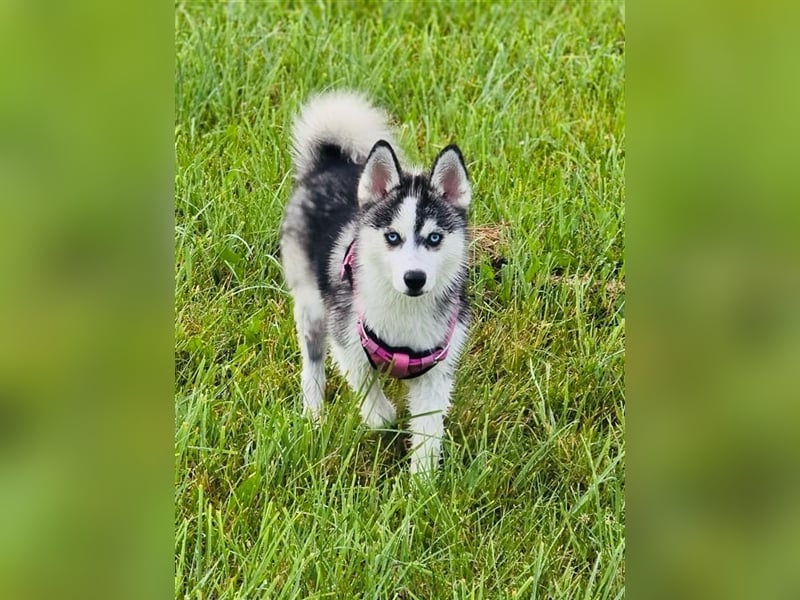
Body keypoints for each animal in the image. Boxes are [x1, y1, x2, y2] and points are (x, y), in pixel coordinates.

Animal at [280, 91, 472, 474]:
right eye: (392, 237)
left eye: (434, 238)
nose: (414, 279)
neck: (405, 311)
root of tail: (330, 162)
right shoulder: (346, 338)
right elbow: (364, 380)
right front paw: (380, 415)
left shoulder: (435, 372)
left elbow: (428, 431)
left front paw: (422, 483)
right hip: (311, 305)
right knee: (313, 363)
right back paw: (313, 412)